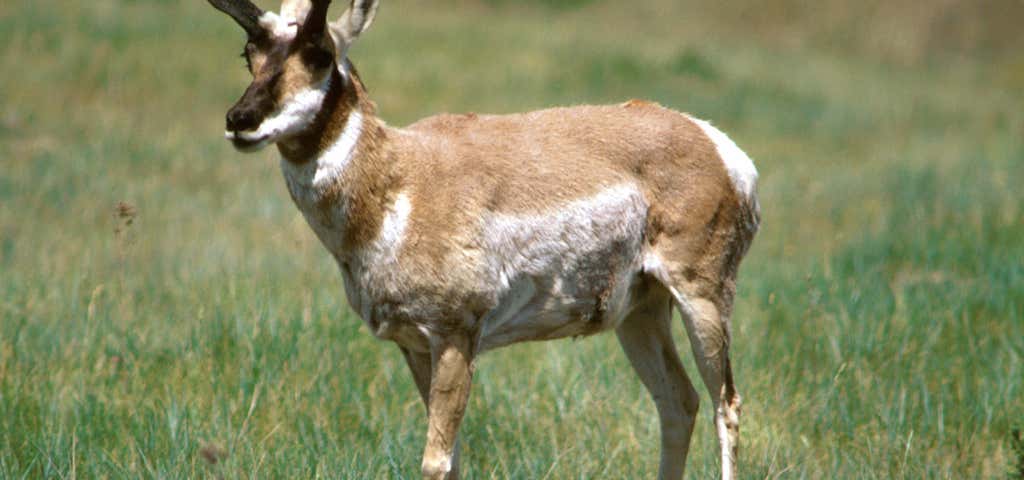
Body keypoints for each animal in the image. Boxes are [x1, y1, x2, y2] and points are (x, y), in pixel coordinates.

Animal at [207, 0, 761, 476]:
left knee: (725, 404)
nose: (239, 120)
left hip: (702, 297)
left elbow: (435, 461)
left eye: (319, 53)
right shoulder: (414, 347)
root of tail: (715, 143)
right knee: (678, 401)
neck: (399, 177)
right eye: (249, 53)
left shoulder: (456, 336)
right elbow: (450, 459)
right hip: (639, 313)